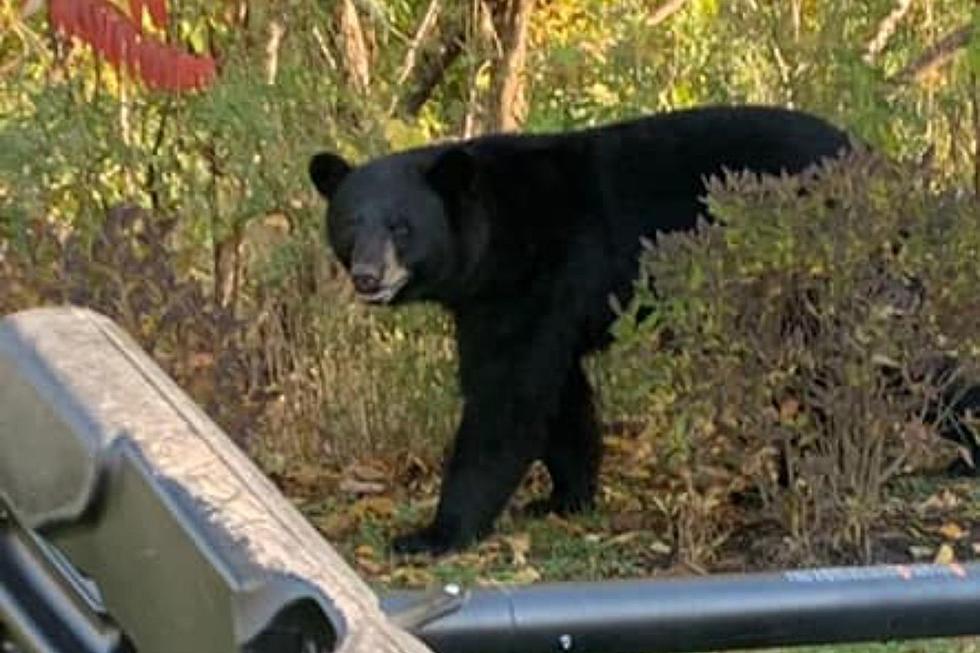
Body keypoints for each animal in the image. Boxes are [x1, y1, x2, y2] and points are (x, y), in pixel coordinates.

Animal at [310, 104, 852, 552]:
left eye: (401, 227)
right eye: (351, 223)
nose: (367, 275)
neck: (500, 235)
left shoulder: (538, 277)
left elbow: (507, 396)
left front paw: (434, 533)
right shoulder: (508, 299)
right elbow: (561, 397)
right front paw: (564, 497)